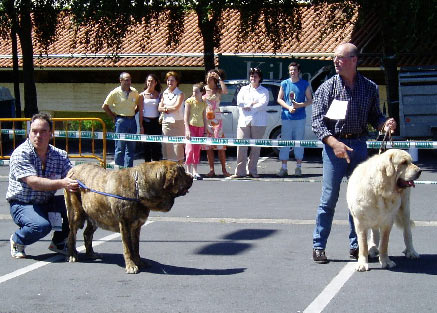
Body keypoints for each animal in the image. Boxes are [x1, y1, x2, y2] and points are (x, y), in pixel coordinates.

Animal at [64, 161, 192, 272]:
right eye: (182, 172)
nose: (191, 176)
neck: (138, 190)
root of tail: (72, 169)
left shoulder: (136, 226)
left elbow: (136, 247)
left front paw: (139, 262)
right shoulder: (124, 224)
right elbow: (127, 247)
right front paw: (131, 266)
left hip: (96, 215)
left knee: (87, 233)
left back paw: (91, 253)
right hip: (76, 213)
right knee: (71, 234)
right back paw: (72, 255)